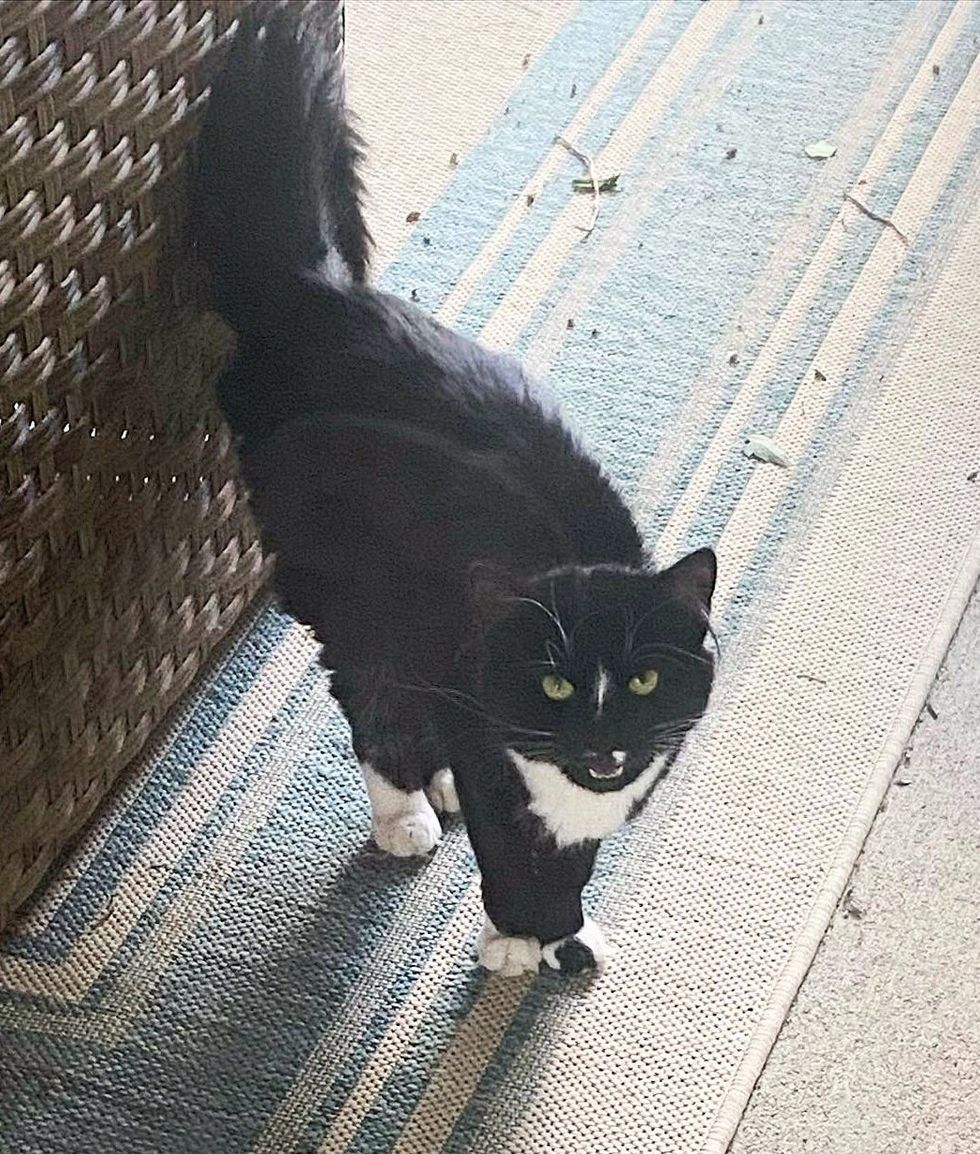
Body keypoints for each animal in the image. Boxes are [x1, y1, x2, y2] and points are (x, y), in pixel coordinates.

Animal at [191, 4, 715, 978]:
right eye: (554, 686)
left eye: (645, 679)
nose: (604, 743)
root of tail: (317, 296)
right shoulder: (489, 743)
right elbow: (510, 848)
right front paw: (519, 938)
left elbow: (575, 859)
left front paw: (566, 931)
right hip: (351, 598)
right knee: (372, 704)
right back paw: (406, 810)